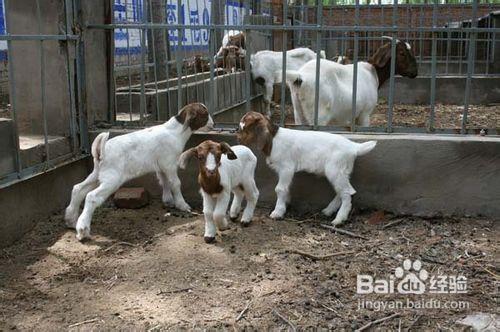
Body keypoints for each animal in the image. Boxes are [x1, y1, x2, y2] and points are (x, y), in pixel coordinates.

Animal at [64, 102, 213, 240]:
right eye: (204, 115)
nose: (212, 124)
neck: (175, 132)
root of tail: (100, 151)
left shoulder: (161, 165)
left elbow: (164, 181)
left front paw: (168, 201)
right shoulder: (169, 163)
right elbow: (175, 183)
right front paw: (182, 205)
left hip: (97, 174)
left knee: (78, 189)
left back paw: (70, 220)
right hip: (112, 178)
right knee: (91, 196)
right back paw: (83, 230)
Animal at [237, 111, 376, 226]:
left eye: (243, 126)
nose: (237, 137)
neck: (273, 139)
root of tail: (354, 147)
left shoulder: (286, 167)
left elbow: (280, 189)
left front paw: (277, 212)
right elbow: (286, 188)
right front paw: (286, 203)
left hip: (335, 170)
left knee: (347, 193)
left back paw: (339, 219)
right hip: (342, 172)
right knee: (343, 191)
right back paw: (328, 210)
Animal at [278, 37, 418, 126]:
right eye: (402, 53)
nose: (415, 72)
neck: (372, 73)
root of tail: (301, 76)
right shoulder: (364, 114)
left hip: (298, 113)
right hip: (318, 115)